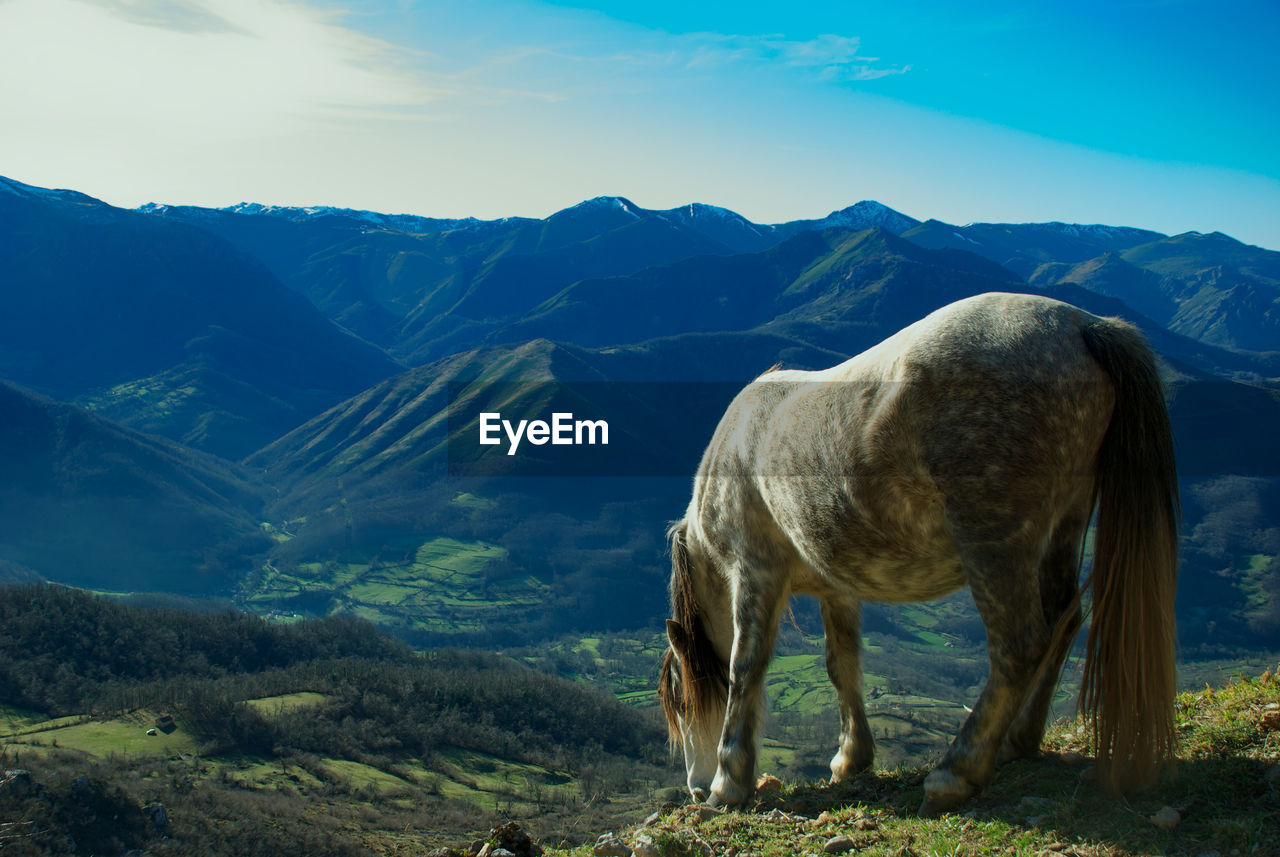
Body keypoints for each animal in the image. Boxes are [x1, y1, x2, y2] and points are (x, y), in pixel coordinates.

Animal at [660, 291, 1177, 813]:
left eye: (681, 705)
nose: (695, 786)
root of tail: (1083, 326)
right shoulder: (837, 587)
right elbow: (841, 664)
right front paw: (851, 758)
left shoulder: (756, 571)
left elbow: (745, 668)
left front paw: (729, 782)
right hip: (1065, 526)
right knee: (1063, 621)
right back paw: (1018, 741)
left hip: (994, 539)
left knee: (1020, 644)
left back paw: (957, 772)